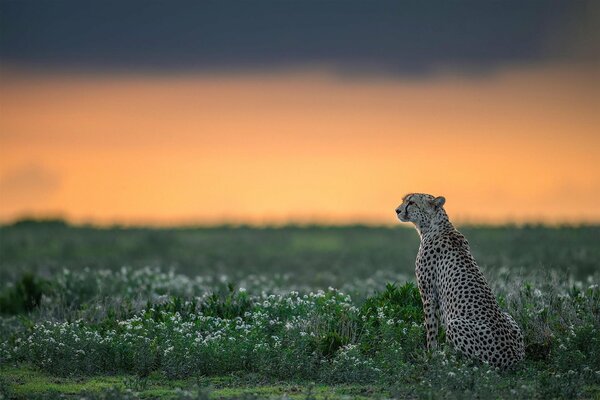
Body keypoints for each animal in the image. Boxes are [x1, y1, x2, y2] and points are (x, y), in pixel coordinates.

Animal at [396, 194, 524, 368]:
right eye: (404, 200)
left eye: (411, 202)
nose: (397, 210)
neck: (435, 226)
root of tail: (514, 359)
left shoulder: (428, 294)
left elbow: (431, 329)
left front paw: (430, 355)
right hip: (509, 317)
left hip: (455, 324)